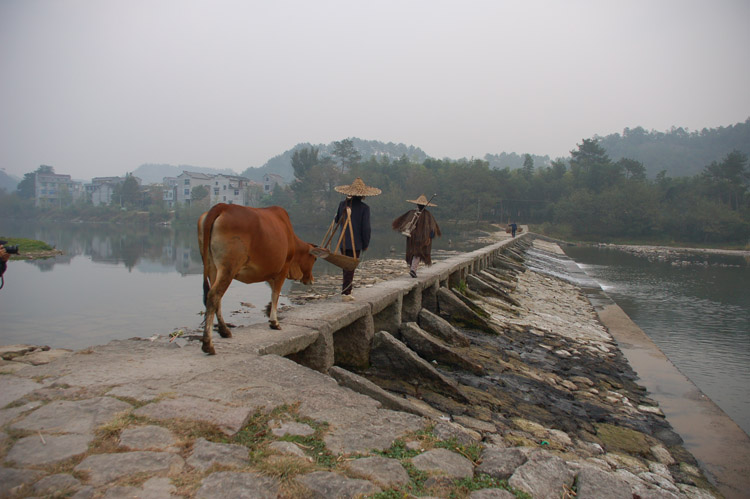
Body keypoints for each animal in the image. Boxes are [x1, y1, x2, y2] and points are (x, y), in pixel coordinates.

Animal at [197, 203, 318, 356]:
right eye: (314, 259)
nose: (312, 279)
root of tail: (222, 206)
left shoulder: (271, 272)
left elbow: (273, 293)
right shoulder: (283, 268)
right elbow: (276, 294)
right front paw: (274, 322)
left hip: (212, 267)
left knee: (214, 297)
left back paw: (224, 331)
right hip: (228, 268)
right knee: (214, 295)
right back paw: (208, 344)